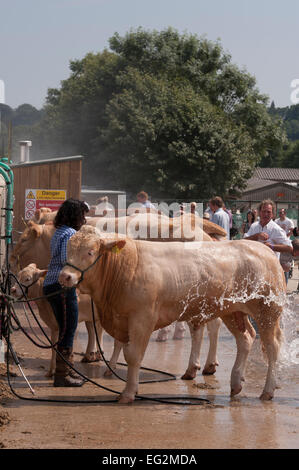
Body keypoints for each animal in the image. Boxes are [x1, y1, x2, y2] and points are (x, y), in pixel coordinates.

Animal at [59, 226, 286, 402]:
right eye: (68, 250)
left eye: (90, 252)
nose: (65, 276)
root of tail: (263, 249)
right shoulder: (122, 319)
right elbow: (123, 349)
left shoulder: (142, 319)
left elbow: (133, 355)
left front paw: (128, 393)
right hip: (234, 311)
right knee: (245, 338)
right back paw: (236, 383)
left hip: (267, 312)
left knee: (272, 346)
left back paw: (267, 391)